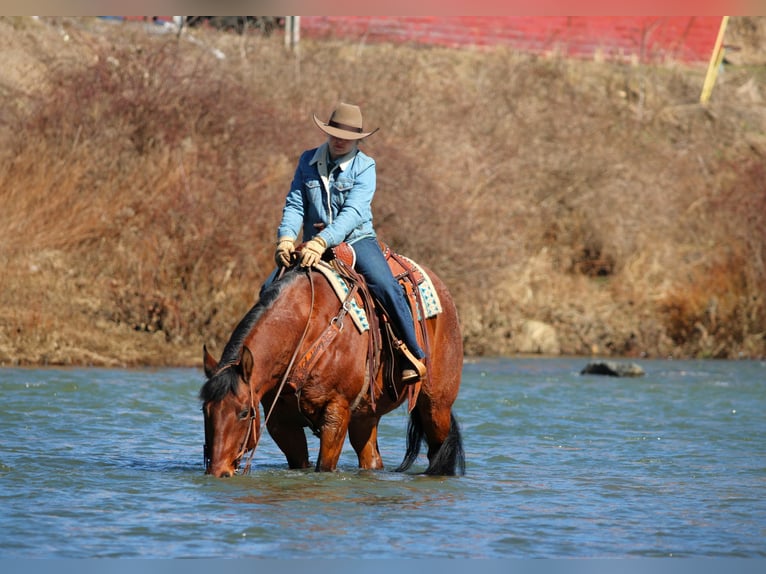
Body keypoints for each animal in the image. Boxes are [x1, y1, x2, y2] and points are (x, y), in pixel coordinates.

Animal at [199, 258, 464, 478]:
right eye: (205, 410)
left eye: (244, 412)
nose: (218, 471)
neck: (306, 330)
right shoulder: (281, 421)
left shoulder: (336, 412)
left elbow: (324, 467)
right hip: (366, 417)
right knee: (371, 459)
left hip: (436, 407)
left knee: (438, 450)